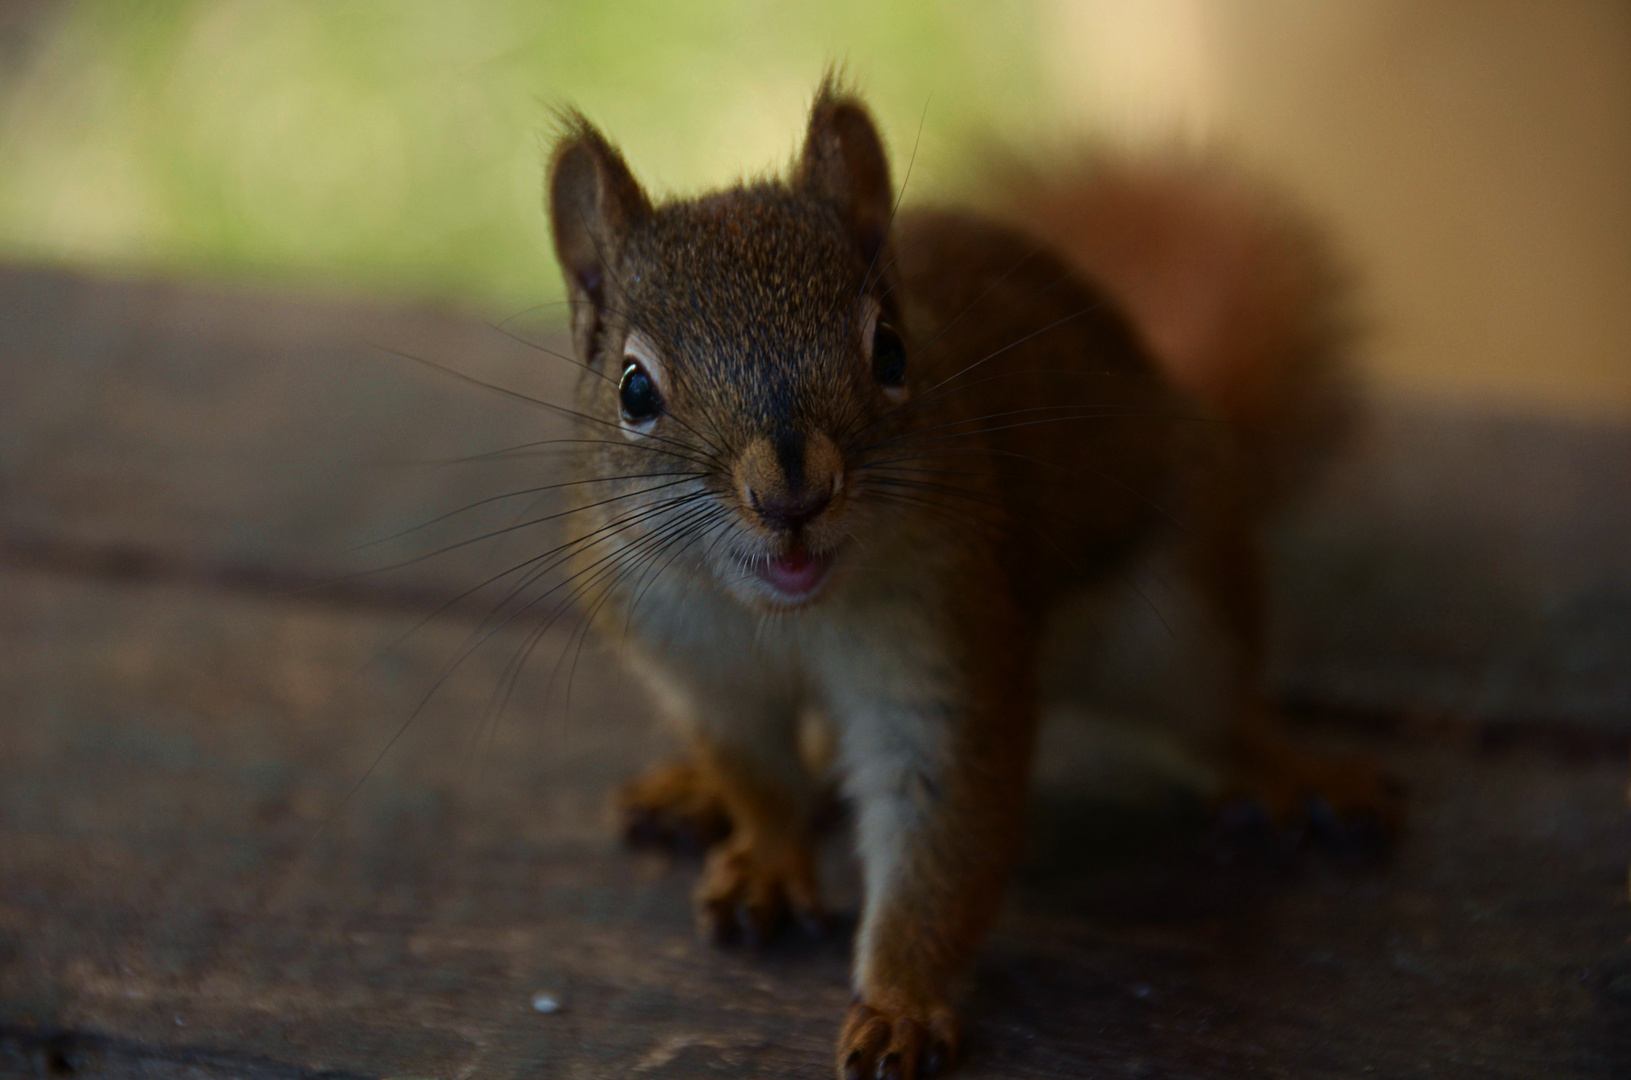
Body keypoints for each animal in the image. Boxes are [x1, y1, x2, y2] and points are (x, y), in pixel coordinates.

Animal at [541, 76, 1396, 1080]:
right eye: (633, 389)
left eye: (891, 353)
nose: (792, 494)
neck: (786, 619)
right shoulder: (696, 668)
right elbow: (759, 777)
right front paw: (766, 854)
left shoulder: (946, 629)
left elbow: (942, 821)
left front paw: (900, 1002)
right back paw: (695, 793)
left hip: (1181, 618)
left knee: (1218, 718)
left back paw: (1290, 771)